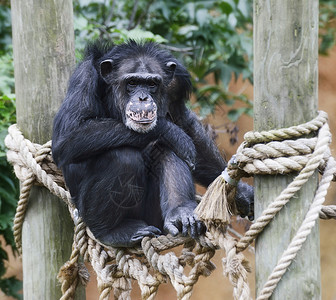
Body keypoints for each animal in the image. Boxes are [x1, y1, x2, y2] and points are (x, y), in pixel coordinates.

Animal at [51, 41, 252, 247]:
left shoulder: (175, 85)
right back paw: (113, 231)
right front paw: (171, 131)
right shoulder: (84, 78)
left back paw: (180, 213)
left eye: (152, 84)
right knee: (123, 157)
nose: (143, 98)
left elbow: (184, 122)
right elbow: (68, 136)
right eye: (132, 82)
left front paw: (241, 192)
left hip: (154, 218)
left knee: (166, 150)